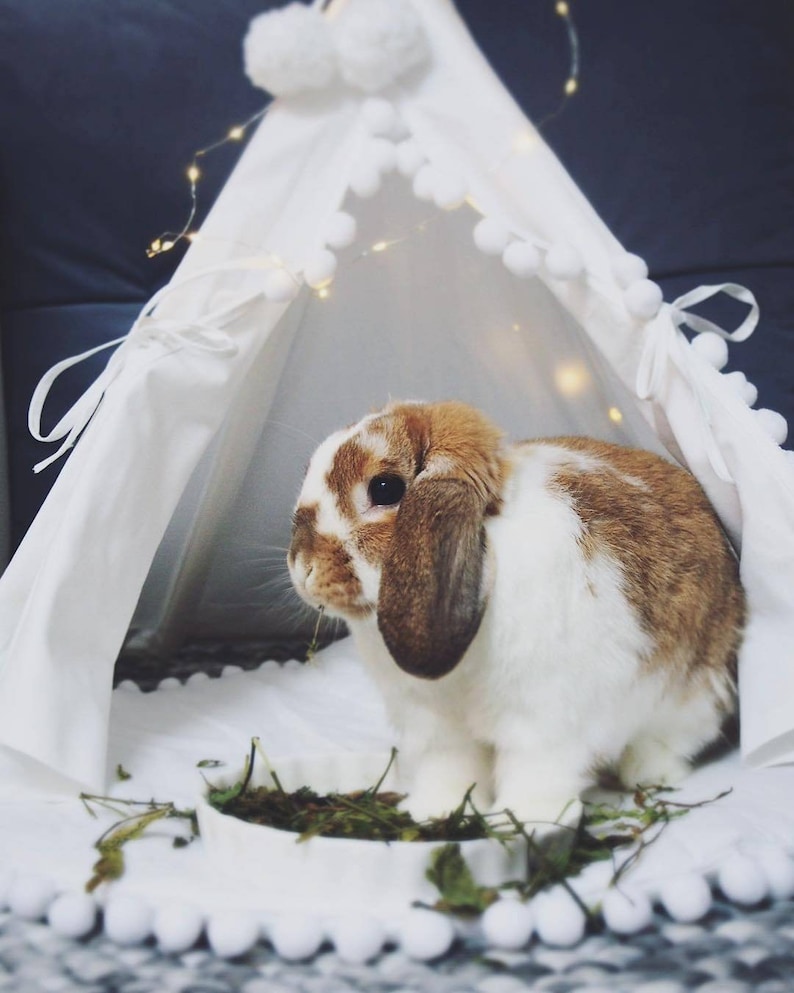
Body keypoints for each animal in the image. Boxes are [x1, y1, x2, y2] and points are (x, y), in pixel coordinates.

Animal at [287, 400, 745, 828]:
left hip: (691, 697)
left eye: (385, 488)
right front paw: (435, 812)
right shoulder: (436, 726)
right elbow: (449, 770)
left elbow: (534, 771)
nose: (302, 567)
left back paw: (644, 773)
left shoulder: (541, 719)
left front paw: (522, 820)